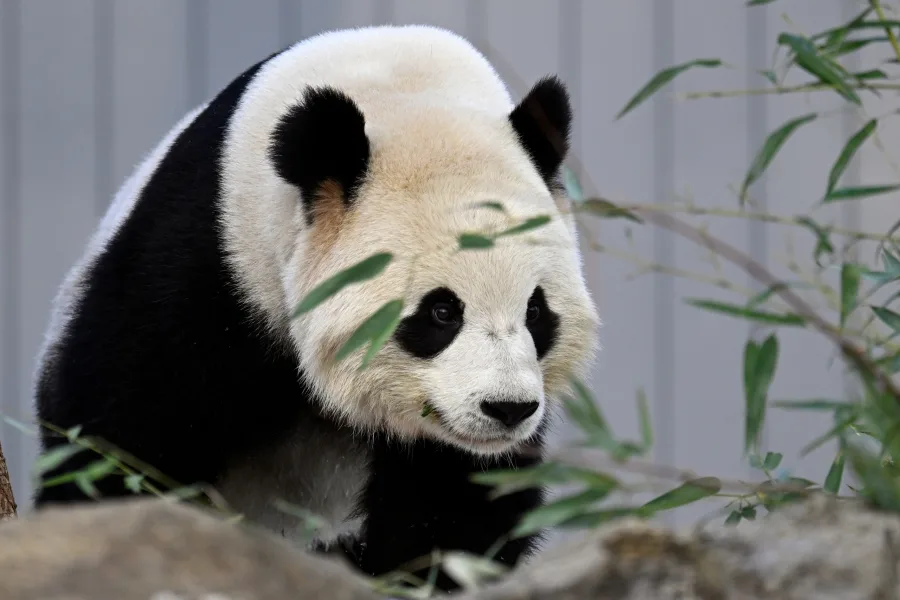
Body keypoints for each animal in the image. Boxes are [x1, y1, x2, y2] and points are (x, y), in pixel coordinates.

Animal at [32, 24, 599, 590]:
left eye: (535, 312)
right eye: (441, 312)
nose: (507, 409)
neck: (402, 89)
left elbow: (457, 498)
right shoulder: (214, 257)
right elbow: (123, 429)